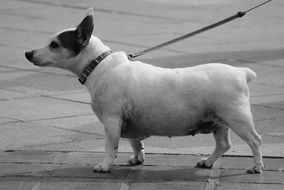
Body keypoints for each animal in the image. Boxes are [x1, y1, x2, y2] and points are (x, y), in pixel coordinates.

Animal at [25, 7, 264, 174]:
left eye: (55, 44)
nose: (28, 53)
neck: (98, 65)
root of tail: (241, 72)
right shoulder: (130, 121)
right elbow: (135, 142)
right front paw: (137, 159)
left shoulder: (112, 120)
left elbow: (110, 146)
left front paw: (105, 166)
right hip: (218, 121)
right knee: (224, 144)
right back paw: (208, 161)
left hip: (237, 118)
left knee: (255, 141)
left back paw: (256, 167)